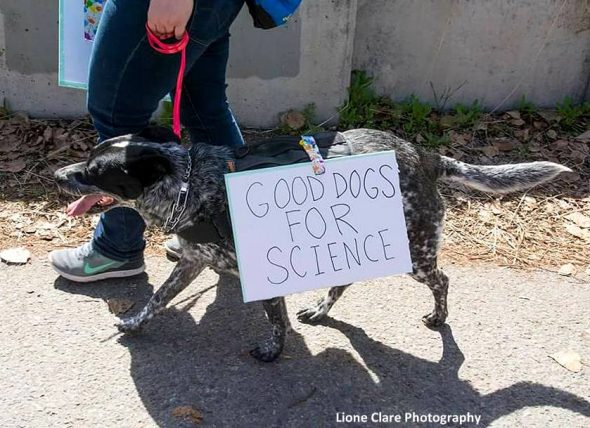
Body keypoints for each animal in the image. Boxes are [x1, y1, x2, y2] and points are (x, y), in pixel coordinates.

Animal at [55, 127, 572, 362]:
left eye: (95, 172)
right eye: (87, 158)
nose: (58, 174)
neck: (189, 184)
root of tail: (425, 155)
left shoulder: (257, 273)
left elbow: (274, 319)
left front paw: (273, 351)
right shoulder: (194, 263)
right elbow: (157, 299)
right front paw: (133, 323)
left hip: (415, 252)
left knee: (442, 280)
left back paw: (438, 318)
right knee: (343, 284)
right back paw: (322, 311)